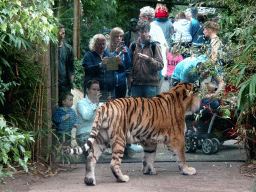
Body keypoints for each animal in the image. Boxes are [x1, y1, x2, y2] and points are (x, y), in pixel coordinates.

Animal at [63, 83, 201, 186]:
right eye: (199, 94)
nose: (200, 103)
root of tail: (105, 105)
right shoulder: (178, 139)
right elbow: (181, 157)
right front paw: (187, 170)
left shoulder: (149, 141)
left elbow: (149, 157)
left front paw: (149, 171)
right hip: (119, 139)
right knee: (114, 163)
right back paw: (122, 178)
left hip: (101, 138)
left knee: (90, 158)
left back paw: (89, 180)